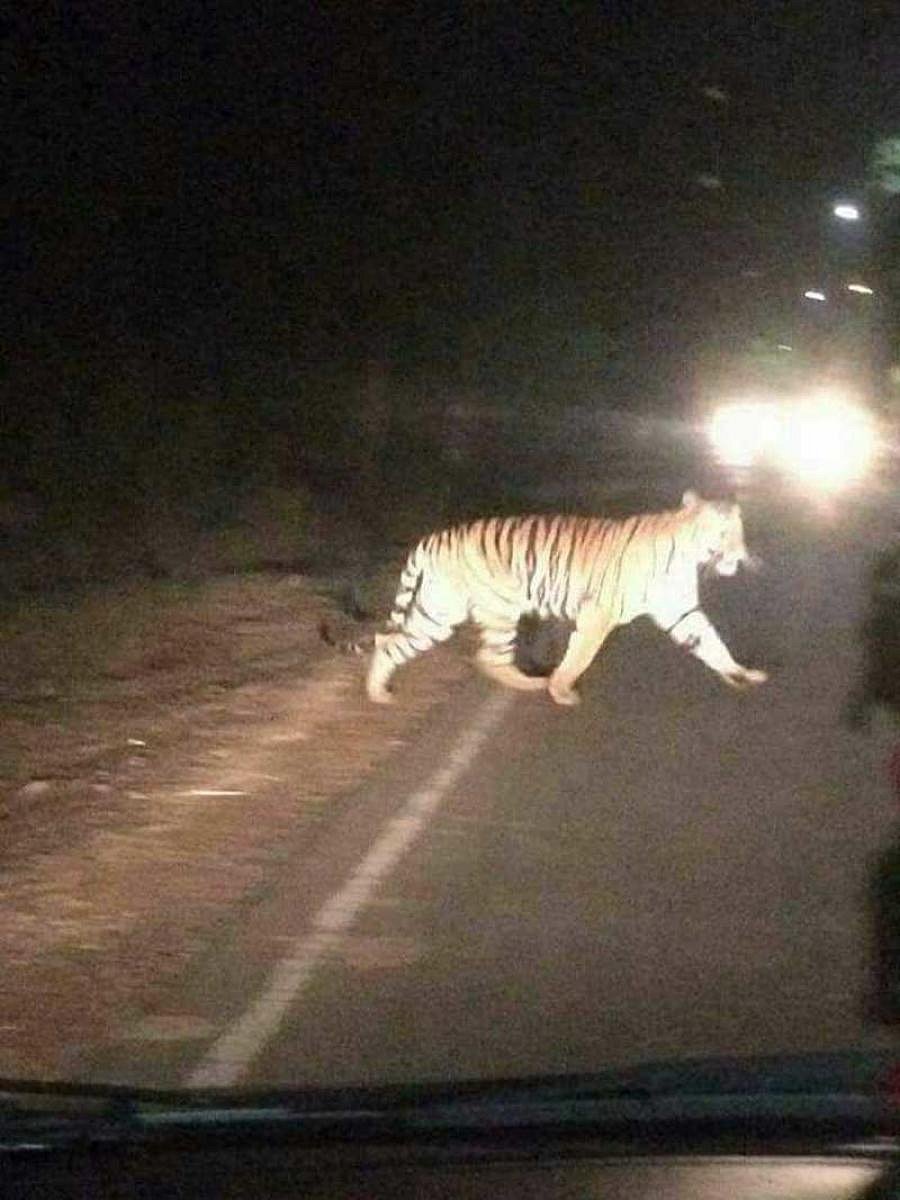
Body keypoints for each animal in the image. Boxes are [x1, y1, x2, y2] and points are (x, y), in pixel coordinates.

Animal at [362, 490, 768, 707]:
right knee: (488, 657)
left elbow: (711, 642)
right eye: (725, 534)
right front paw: (561, 689)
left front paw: (740, 674)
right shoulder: (599, 613)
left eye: (741, 532)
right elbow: (580, 655)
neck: (689, 556)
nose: (741, 556)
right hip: (499, 607)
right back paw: (534, 684)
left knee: (390, 642)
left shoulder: (681, 610)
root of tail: (434, 537)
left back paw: (377, 692)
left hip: (438, 612)